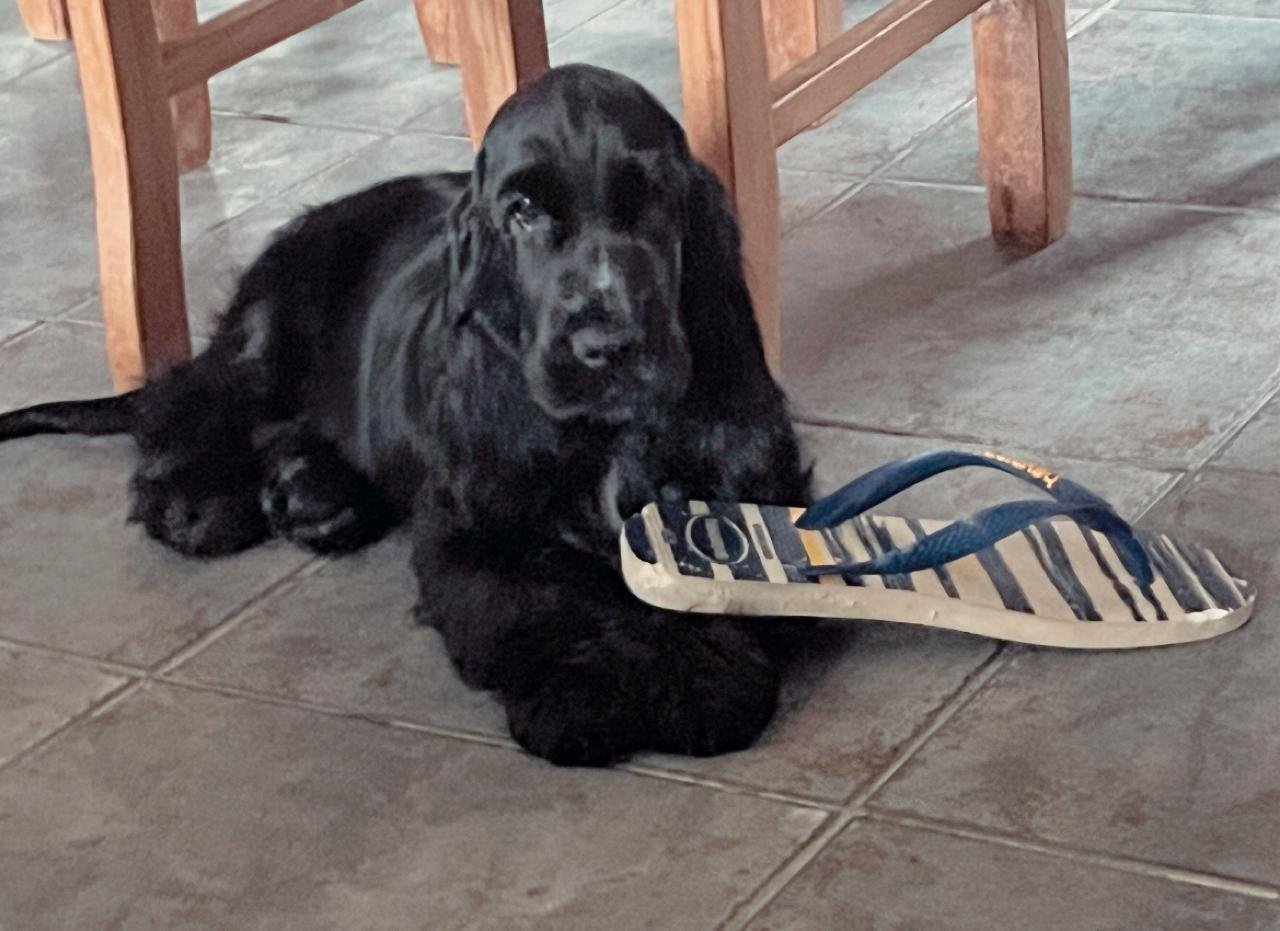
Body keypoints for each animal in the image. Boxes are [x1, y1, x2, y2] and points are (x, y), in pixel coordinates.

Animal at [0, 65, 811, 766]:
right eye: (521, 212)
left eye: (654, 198)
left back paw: (314, 497)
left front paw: (703, 680)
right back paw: (197, 505)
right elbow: (539, 605)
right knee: (191, 397)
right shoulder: (472, 531)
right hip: (275, 319)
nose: (605, 346)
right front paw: (583, 694)